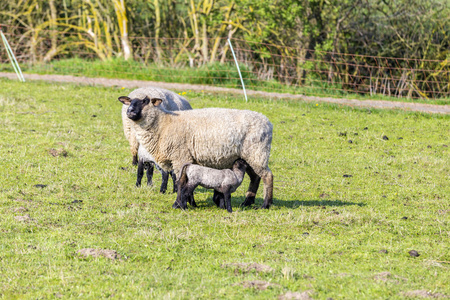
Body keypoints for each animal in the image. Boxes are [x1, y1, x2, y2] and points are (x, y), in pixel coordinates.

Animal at [116, 95, 274, 209]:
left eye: (144, 101)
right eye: (129, 102)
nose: (130, 112)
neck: (163, 124)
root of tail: (267, 122)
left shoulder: (181, 156)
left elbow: (180, 181)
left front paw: (179, 204)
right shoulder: (186, 159)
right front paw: (191, 203)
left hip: (257, 152)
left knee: (267, 176)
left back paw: (265, 204)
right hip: (248, 157)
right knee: (255, 177)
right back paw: (247, 201)